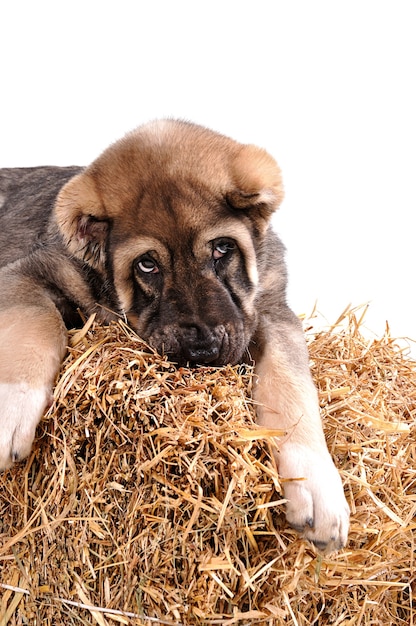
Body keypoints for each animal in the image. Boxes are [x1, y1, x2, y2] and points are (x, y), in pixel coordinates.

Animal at [0, 119, 350, 548]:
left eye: (222, 248)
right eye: (147, 264)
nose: (203, 349)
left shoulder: (270, 310)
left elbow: (291, 386)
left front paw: (315, 484)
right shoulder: (26, 274)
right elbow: (35, 324)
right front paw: (12, 407)